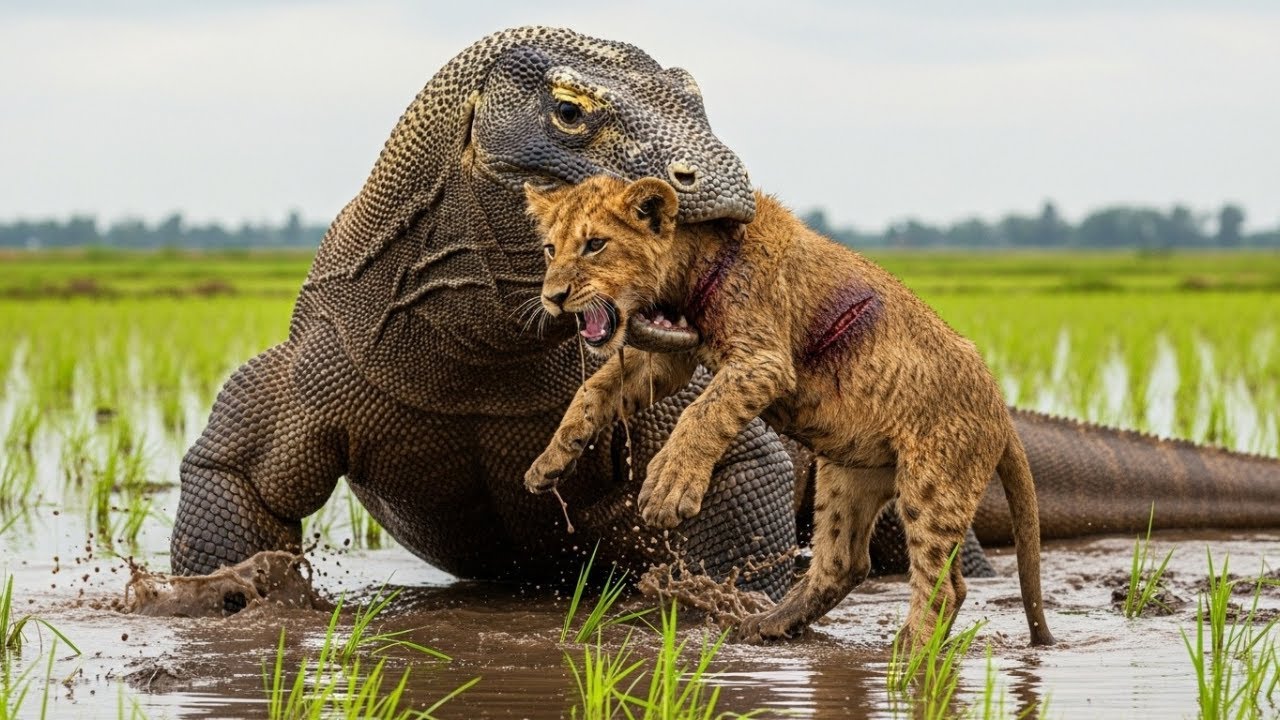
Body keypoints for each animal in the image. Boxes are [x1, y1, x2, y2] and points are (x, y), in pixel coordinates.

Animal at [521, 175, 1054, 647]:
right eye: (550, 249)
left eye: (595, 245)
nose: (553, 297)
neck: (686, 267)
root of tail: (1001, 407)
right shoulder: (669, 360)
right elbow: (593, 390)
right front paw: (548, 463)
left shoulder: (765, 361)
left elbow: (702, 413)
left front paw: (668, 489)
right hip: (846, 475)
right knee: (844, 564)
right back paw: (768, 624)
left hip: (933, 483)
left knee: (943, 587)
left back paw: (909, 656)